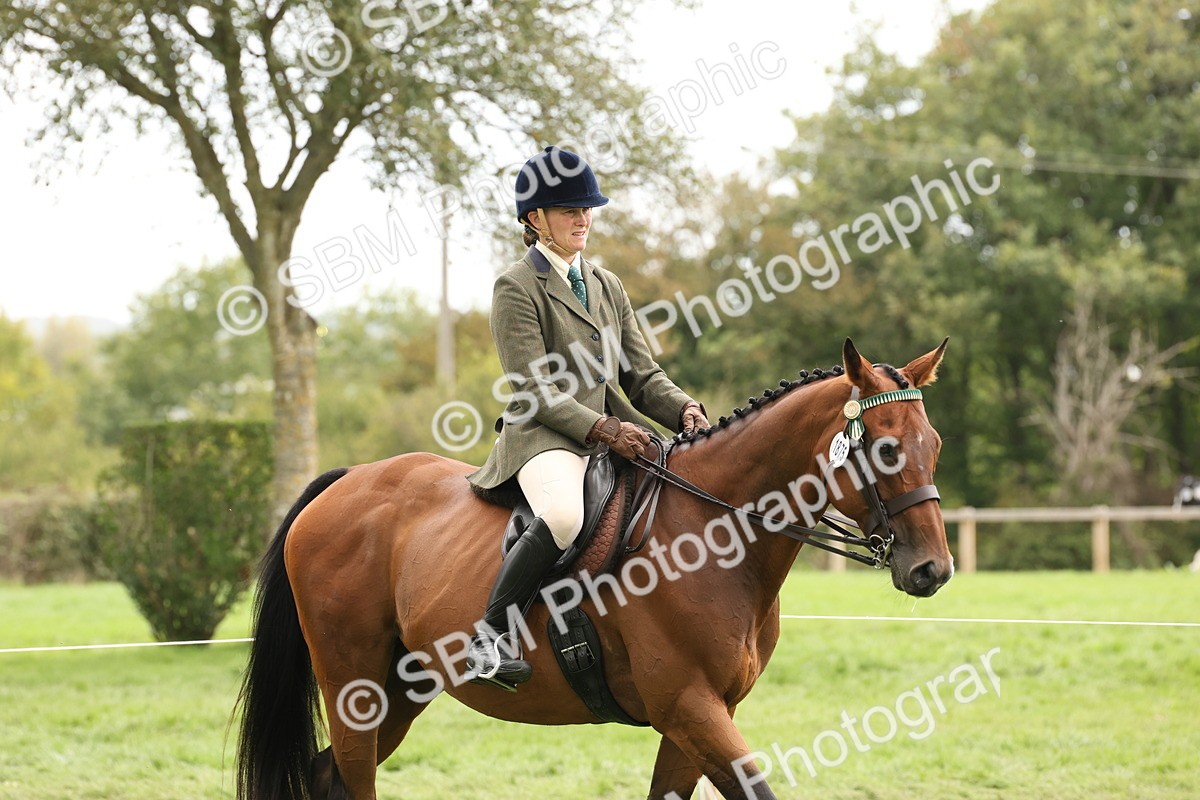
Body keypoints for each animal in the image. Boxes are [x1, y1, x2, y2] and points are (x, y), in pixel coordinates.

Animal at [234, 338, 954, 800]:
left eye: (935, 445)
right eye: (886, 448)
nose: (933, 572)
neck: (715, 533)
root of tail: (344, 483)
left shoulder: (696, 716)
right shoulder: (689, 705)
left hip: (403, 688)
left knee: (327, 775)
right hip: (353, 686)